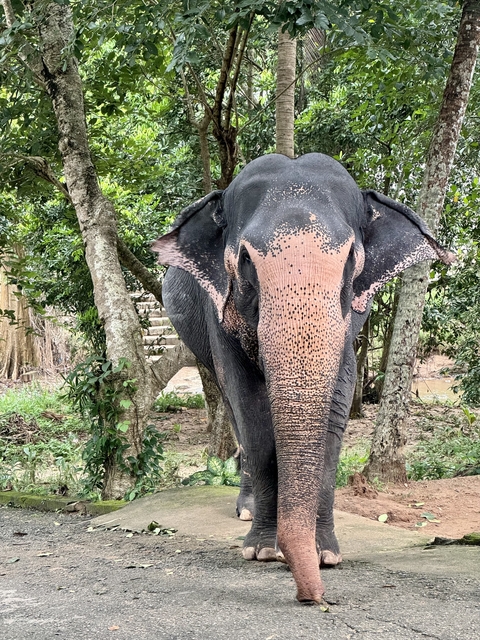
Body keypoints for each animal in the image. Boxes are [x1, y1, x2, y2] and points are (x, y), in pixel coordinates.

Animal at [152, 153, 454, 604]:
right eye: (245, 260)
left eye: (351, 260)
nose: (314, 598)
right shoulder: (217, 309)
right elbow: (251, 408)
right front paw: (262, 551)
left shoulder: (350, 317)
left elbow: (338, 403)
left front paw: (326, 554)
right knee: (232, 406)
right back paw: (247, 511)